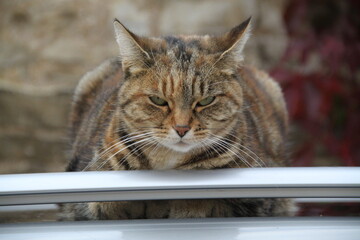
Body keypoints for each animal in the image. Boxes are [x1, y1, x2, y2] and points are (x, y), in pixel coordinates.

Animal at [59, 16, 296, 219]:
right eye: (158, 100)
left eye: (206, 100)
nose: (182, 128)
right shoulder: (80, 190)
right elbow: (104, 204)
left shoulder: (263, 199)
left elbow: (205, 204)